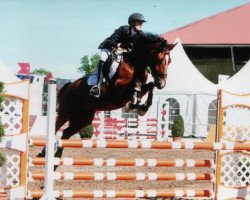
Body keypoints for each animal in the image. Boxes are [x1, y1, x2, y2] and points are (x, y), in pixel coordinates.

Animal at [37, 32, 176, 158]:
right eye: (159, 59)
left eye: (169, 61)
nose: (162, 83)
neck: (134, 64)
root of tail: (70, 85)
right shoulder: (117, 91)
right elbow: (135, 86)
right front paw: (135, 102)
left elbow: (149, 87)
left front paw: (141, 107)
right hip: (67, 112)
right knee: (56, 127)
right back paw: (44, 152)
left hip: (83, 118)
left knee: (66, 132)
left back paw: (57, 155)